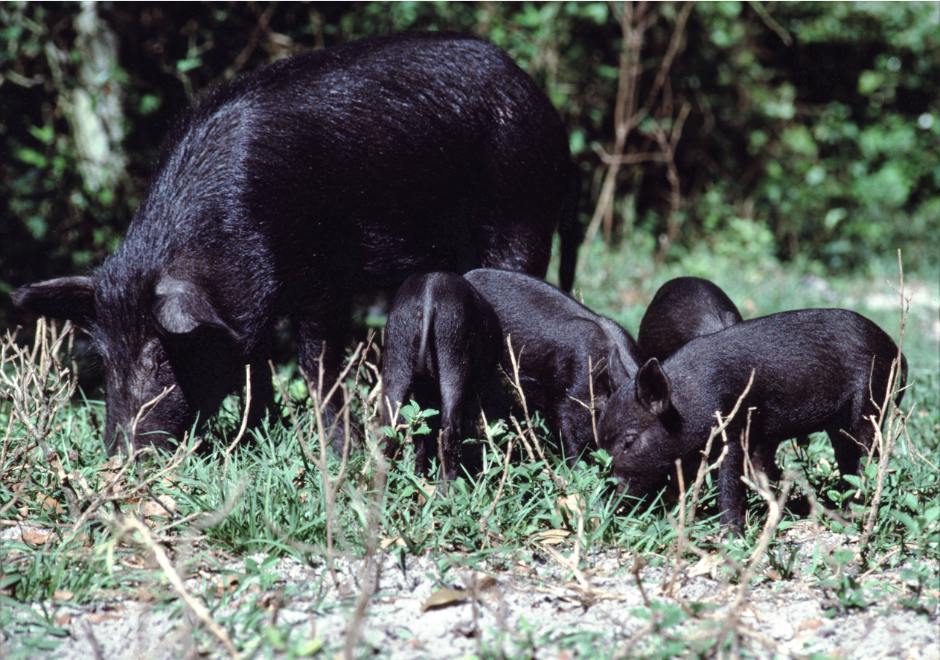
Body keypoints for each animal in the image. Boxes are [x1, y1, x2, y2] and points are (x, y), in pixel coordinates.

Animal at [11, 31, 576, 454]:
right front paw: (259, 434)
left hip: (523, 211)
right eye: (104, 358)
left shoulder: (325, 276)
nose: (121, 459)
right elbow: (256, 366)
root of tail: (545, 107)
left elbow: (315, 361)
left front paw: (339, 451)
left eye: (161, 356)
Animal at [600, 308, 908, 532]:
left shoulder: (733, 424)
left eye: (629, 441)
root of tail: (897, 352)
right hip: (840, 425)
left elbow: (729, 479)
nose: (610, 488)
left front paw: (729, 534)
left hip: (871, 401)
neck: (687, 405)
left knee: (867, 459)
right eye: (603, 443)